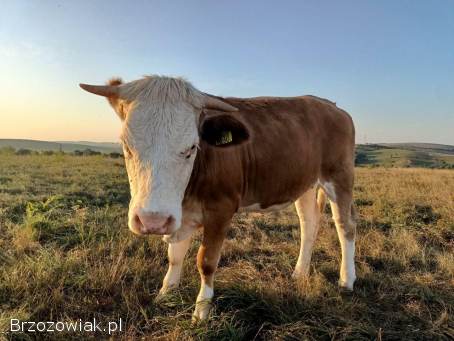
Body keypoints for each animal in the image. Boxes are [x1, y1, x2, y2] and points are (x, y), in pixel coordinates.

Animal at [81, 75, 358, 320]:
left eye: (191, 148)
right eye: (126, 146)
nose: (152, 221)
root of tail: (330, 106)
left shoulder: (221, 210)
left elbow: (206, 261)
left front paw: (201, 311)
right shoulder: (180, 214)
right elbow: (175, 255)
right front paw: (165, 293)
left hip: (340, 176)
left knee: (345, 226)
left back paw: (347, 279)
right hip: (305, 185)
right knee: (309, 224)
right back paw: (300, 272)